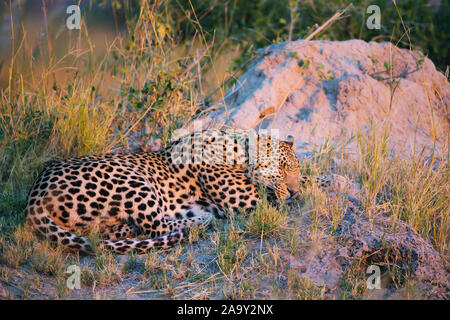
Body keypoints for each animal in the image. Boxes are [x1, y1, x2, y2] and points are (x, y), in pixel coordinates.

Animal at [24, 129, 344, 254]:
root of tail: (34, 193)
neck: (238, 149)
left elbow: (310, 180)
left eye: (295, 169)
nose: (291, 190)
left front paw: (331, 179)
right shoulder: (243, 197)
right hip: (132, 178)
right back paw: (200, 221)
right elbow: (288, 193)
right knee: (157, 226)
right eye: (281, 169)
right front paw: (331, 182)